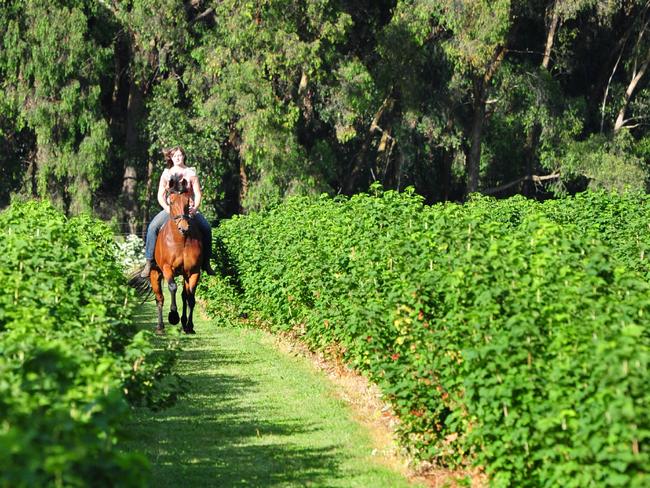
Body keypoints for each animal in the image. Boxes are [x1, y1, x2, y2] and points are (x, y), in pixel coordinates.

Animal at [149, 173, 202, 334]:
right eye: (171, 202)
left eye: (187, 201)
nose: (183, 227)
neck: (181, 241)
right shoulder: (167, 268)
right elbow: (172, 287)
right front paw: (173, 316)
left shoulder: (194, 271)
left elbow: (190, 297)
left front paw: (189, 326)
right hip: (155, 273)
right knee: (159, 298)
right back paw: (160, 326)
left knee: (185, 295)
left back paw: (184, 324)